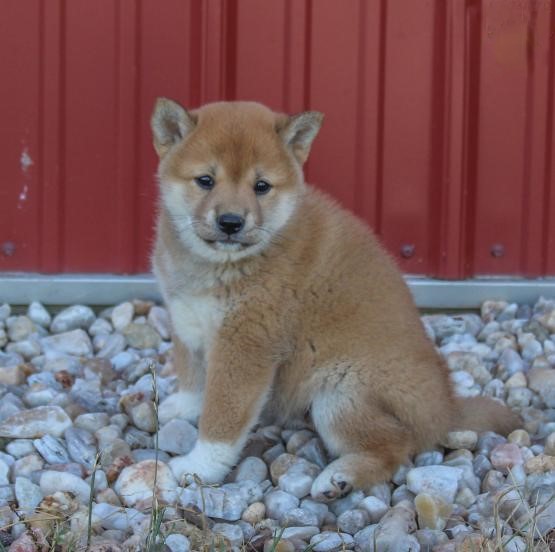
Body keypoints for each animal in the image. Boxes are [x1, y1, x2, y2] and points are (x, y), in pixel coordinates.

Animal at [150, 98, 519, 501]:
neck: (217, 266)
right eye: (205, 181)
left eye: (261, 186)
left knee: (395, 447)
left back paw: (340, 478)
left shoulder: (246, 345)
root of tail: (446, 410)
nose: (231, 222)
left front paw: (198, 466)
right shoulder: (187, 321)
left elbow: (222, 418)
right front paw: (182, 406)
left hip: (340, 394)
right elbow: (192, 375)